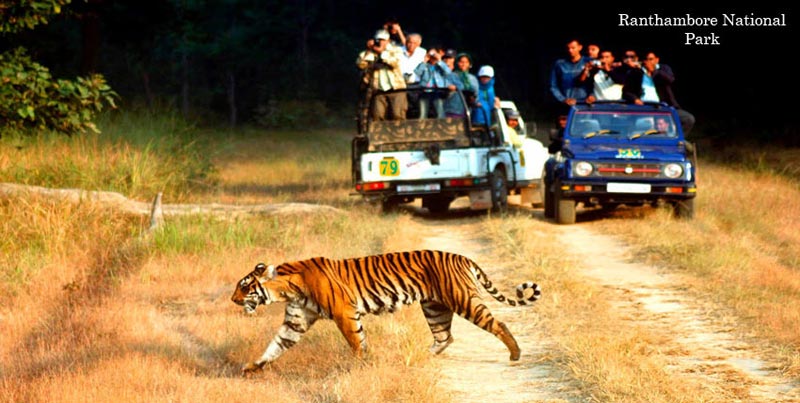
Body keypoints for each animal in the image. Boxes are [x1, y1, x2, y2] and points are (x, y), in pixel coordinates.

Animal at [230, 249, 541, 373]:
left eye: (244, 286)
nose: (233, 299)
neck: (287, 289)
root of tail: (464, 258)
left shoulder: (345, 313)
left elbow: (357, 341)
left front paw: (362, 363)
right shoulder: (295, 322)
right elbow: (275, 346)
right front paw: (252, 367)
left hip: (463, 300)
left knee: (498, 324)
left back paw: (515, 354)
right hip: (434, 307)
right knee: (445, 337)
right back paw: (417, 359)